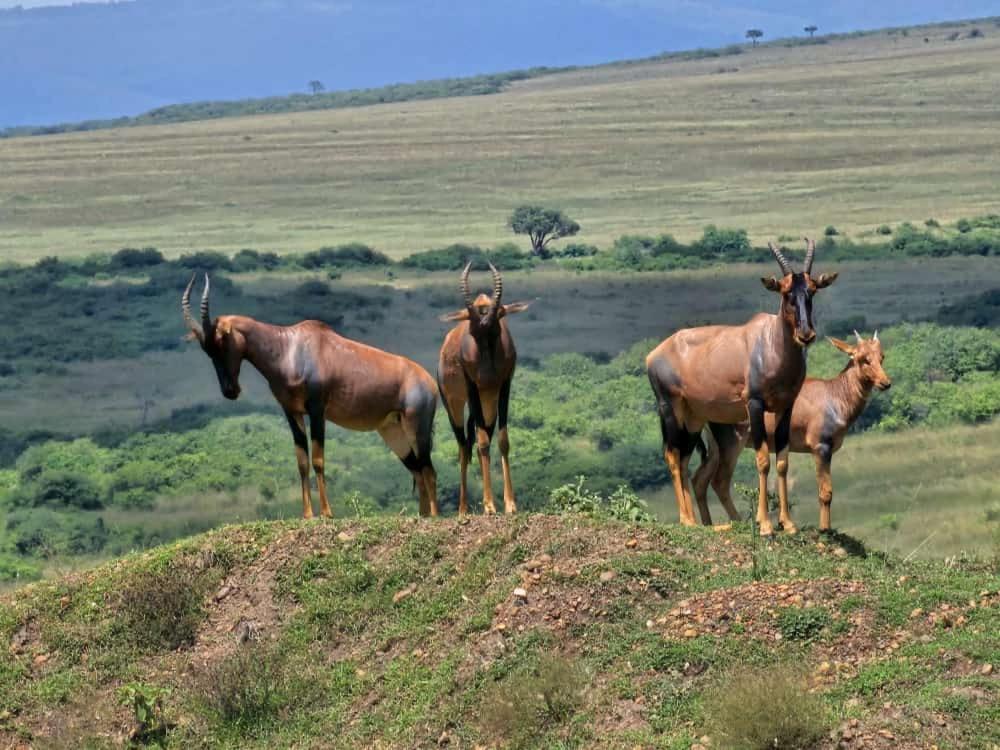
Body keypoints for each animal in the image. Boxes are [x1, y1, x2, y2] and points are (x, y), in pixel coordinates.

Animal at [182, 278, 440, 524]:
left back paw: (435, 516)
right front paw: (307, 514)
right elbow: (302, 461)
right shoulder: (291, 412)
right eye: (206, 350)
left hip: (417, 426)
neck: (290, 348)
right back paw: (423, 516)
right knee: (417, 470)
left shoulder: (317, 410)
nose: (230, 391)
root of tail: (428, 380)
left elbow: (318, 459)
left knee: (428, 470)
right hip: (393, 431)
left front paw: (327, 513)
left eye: (221, 342)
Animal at [438, 262, 532, 516]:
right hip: (456, 403)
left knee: (482, 438)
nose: (486, 375)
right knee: (464, 445)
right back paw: (464, 508)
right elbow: (480, 443)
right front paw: (489, 505)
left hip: (487, 402)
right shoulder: (472, 387)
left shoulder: (504, 386)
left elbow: (502, 441)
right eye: (471, 331)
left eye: (497, 323)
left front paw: (509, 504)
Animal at [644, 239, 840, 536]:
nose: (806, 334)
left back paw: (701, 522)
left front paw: (787, 523)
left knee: (684, 458)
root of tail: (654, 354)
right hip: (670, 409)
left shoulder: (785, 406)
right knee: (672, 455)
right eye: (785, 293)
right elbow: (763, 460)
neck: (769, 342)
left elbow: (782, 461)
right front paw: (765, 525)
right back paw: (687, 520)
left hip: (693, 418)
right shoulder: (754, 404)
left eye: (812, 290)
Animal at [696, 332, 892, 532]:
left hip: (715, 448)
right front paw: (825, 529)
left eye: (881, 356)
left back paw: (707, 524)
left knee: (700, 480)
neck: (833, 394)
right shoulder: (821, 447)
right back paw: (740, 521)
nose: (885, 383)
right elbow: (825, 492)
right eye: (862, 358)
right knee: (719, 481)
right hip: (733, 443)